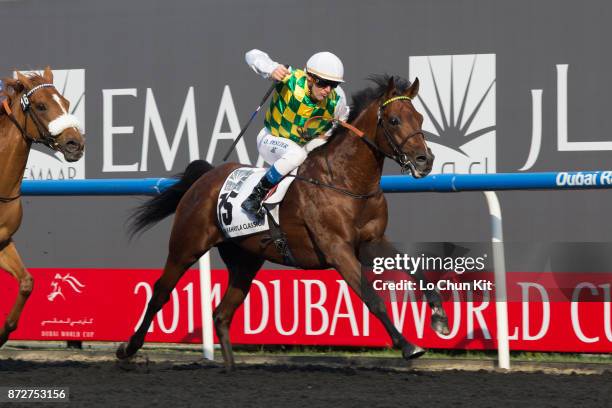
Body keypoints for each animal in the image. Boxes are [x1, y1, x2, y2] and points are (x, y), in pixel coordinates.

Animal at [0, 67, 86, 348]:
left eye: (67, 103)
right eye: (40, 106)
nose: (75, 144)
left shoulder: (4, 240)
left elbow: (27, 282)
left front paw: (4, 332)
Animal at [116, 74, 450, 370]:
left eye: (419, 118)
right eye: (393, 120)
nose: (425, 160)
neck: (346, 181)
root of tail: (206, 176)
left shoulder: (372, 242)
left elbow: (415, 268)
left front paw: (439, 318)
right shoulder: (337, 249)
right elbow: (371, 296)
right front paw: (409, 346)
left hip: (245, 260)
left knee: (222, 314)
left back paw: (230, 370)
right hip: (186, 246)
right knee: (160, 293)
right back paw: (127, 349)